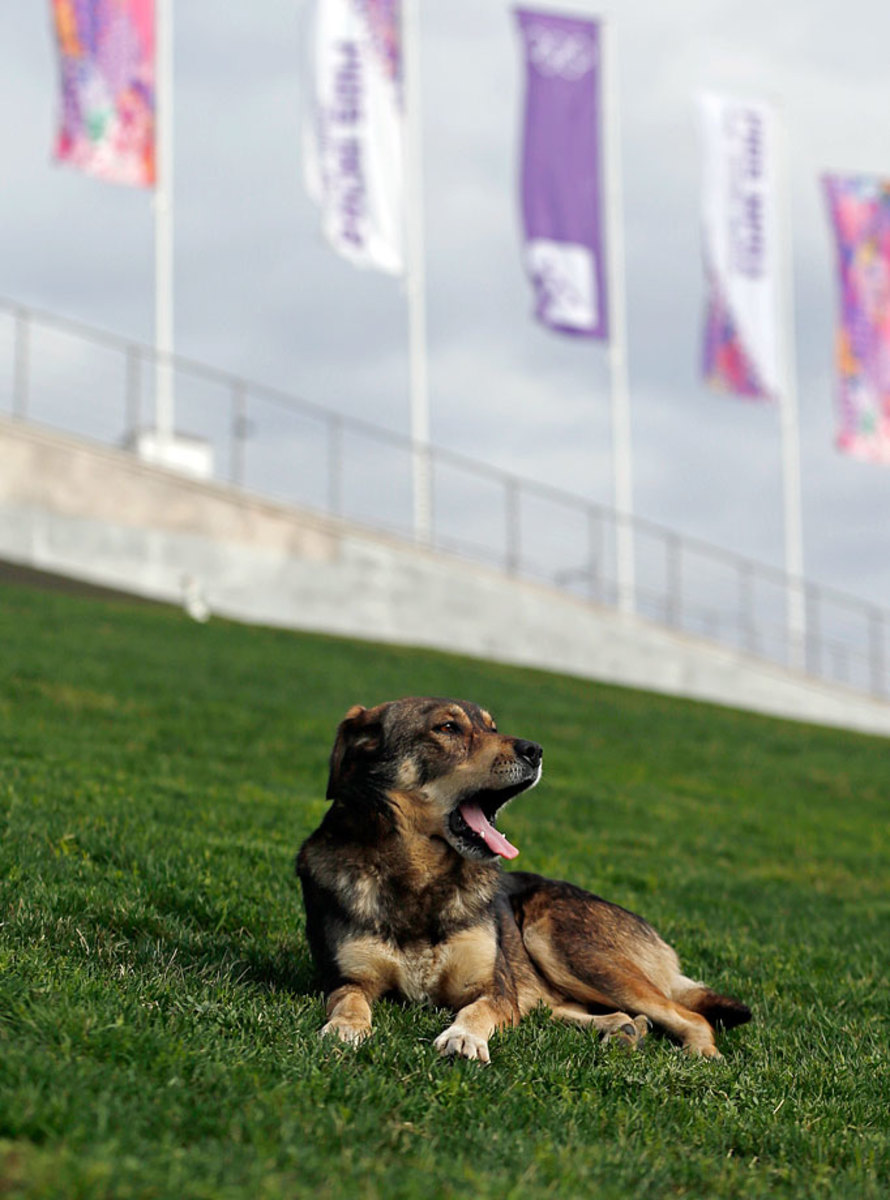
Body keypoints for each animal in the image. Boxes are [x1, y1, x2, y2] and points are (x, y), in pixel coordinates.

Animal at [299, 700, 753, 1065]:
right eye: (447, 727)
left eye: (492, 726)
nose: (534, 750)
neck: (420, 876)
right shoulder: (348, 979)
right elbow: (349, 1002)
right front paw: (344, 1030)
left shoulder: (495, 987)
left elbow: (476, 1011)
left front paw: (463, 1038)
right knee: (595, 1011)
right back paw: (624, 1031)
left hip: (560, 939)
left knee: (692, 1016)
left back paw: (700, 1054)